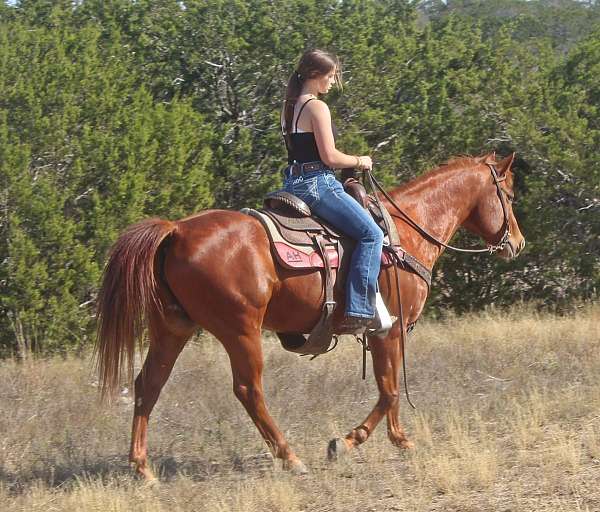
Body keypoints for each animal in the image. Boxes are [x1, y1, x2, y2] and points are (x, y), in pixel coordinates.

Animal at [95, 152, 524, 480]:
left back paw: (142, 468)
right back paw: (290, 457)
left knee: (149, 384)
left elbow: (389, 389)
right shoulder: (391, 330)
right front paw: (346, 443)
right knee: (248, 390)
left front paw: (400, 438)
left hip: (172, 328)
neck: (405, 232)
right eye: (509, 193)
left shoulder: (382, 333)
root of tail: (176, 231)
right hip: (240, 330)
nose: (517, 244)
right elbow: (388, 391)